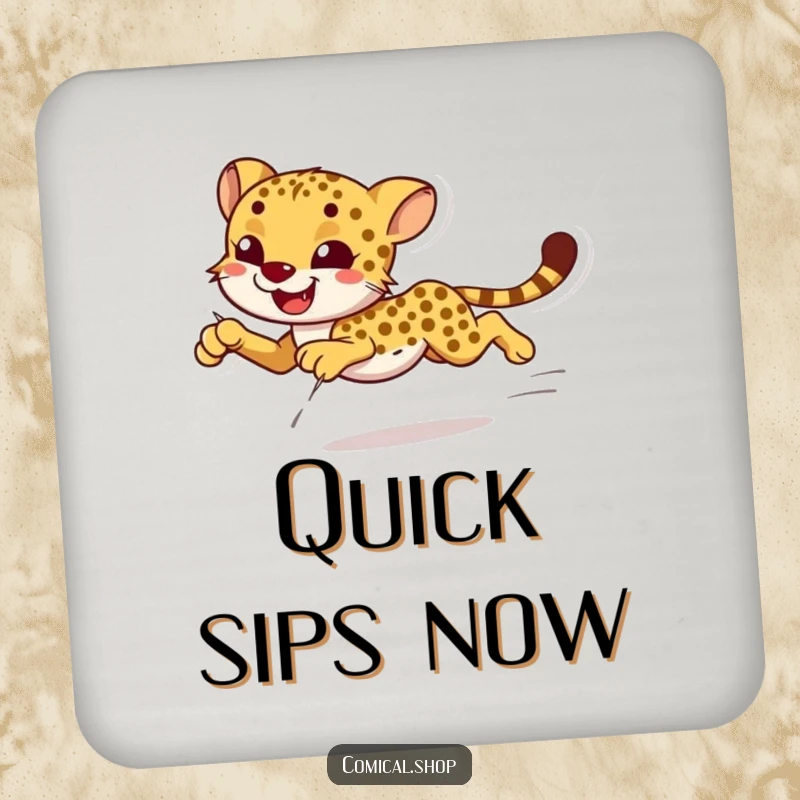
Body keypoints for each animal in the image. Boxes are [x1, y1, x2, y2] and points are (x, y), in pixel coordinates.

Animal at [194, 158, 578, 384]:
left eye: (331, 253)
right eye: (247, 248)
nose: (277, 270)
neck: (314, 326)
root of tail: (446, 286)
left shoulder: (365, 337)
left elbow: (358, 345)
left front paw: (327, 354)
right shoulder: (286, 349)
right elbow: (273, 357)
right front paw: (222, 336)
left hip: (456, 343)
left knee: (490, 323)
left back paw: (520, 347)